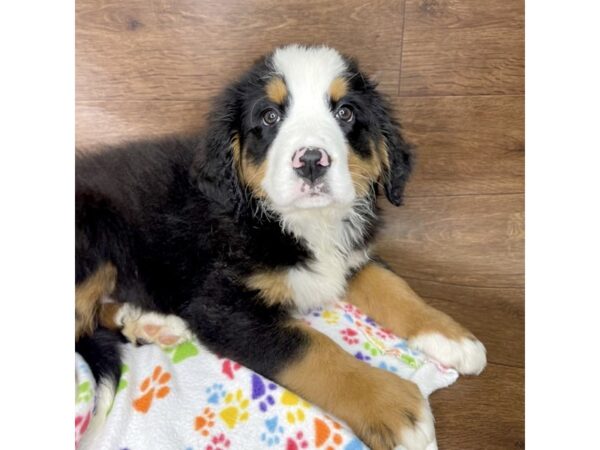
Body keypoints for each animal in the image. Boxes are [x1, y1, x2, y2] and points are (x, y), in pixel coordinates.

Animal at [75, 44, 488, 450]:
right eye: (270, 116)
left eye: (345, 112)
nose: (311, 161)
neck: (298, 222)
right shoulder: (222, 308)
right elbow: (310, 347)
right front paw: (394, 407)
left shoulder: (351, 258)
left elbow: (394, 288)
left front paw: (451, 337)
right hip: (93, 235)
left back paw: (148, 323)